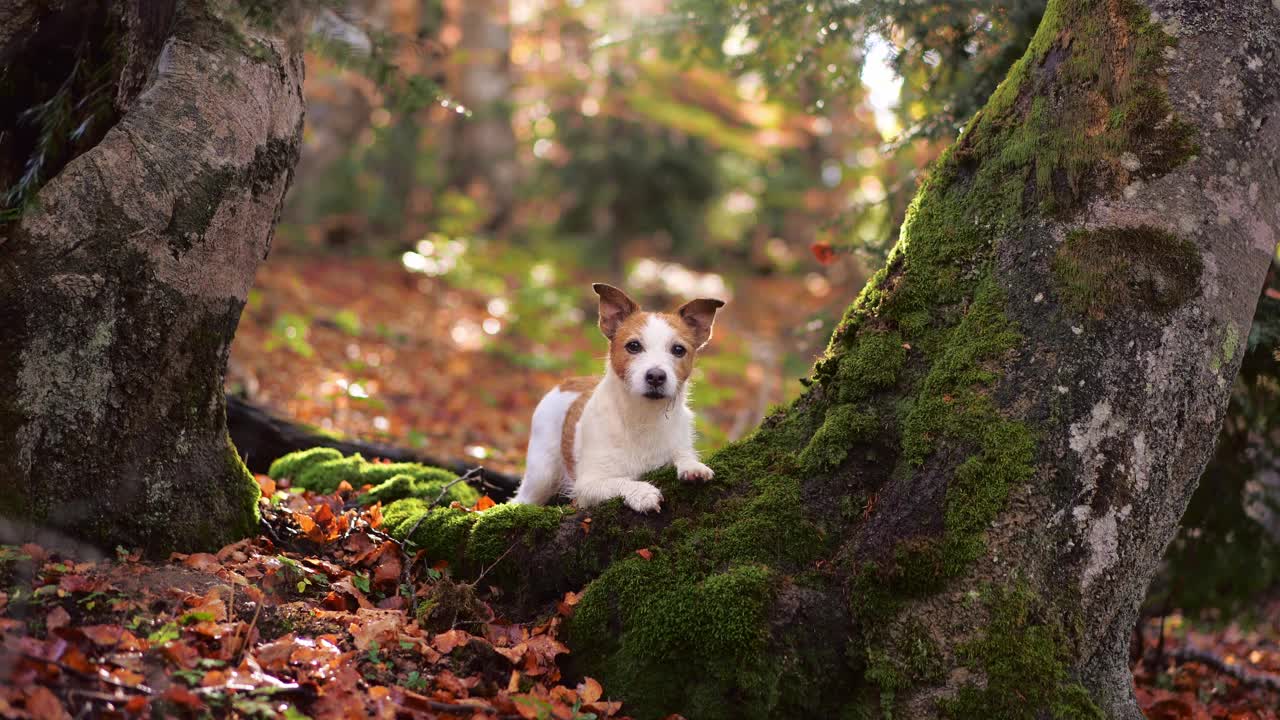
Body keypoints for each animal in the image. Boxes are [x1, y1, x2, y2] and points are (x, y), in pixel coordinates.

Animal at [512, 280, 732, 509]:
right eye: (633, 346)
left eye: (678, 349)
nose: (656, 376)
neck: (642, 416)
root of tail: (568, 383)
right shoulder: (588, 485)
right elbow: (621, 481)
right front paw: (642, 492)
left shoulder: (678, 444)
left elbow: (683, 454)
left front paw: (692, 466)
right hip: (542, 473)